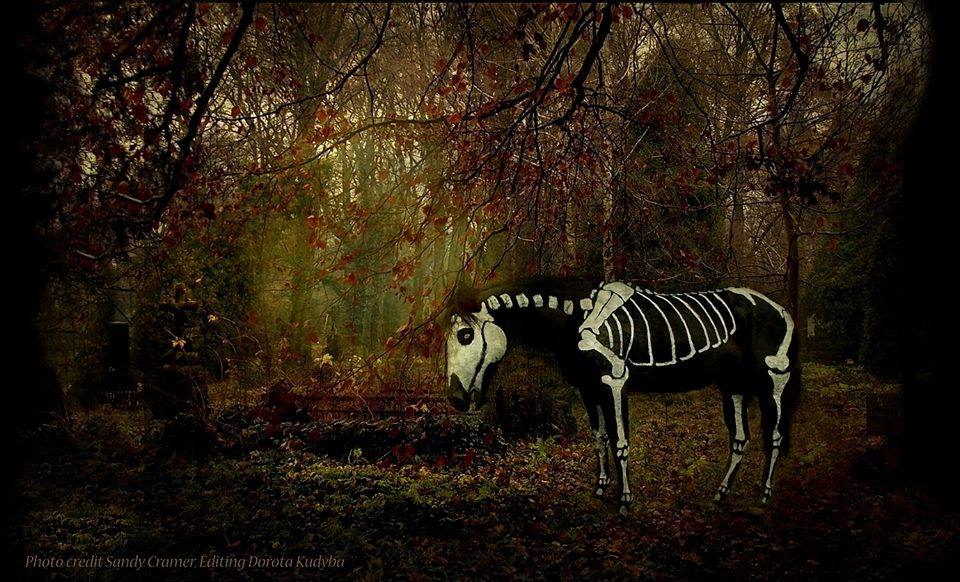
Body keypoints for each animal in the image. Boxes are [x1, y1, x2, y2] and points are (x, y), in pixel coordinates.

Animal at [444, 278, 800, 510]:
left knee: (775, 436)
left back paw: (765, 494)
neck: (573, 324)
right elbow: (600, 439)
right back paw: (721, 493)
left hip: (774, 379)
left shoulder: (614, 382)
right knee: (740, 438)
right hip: (734, 386)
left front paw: (625, 499)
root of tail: (783, 311)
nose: (455, 399)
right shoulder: (589, 390)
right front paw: (601, 488)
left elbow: (620, 442)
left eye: (465, 336)